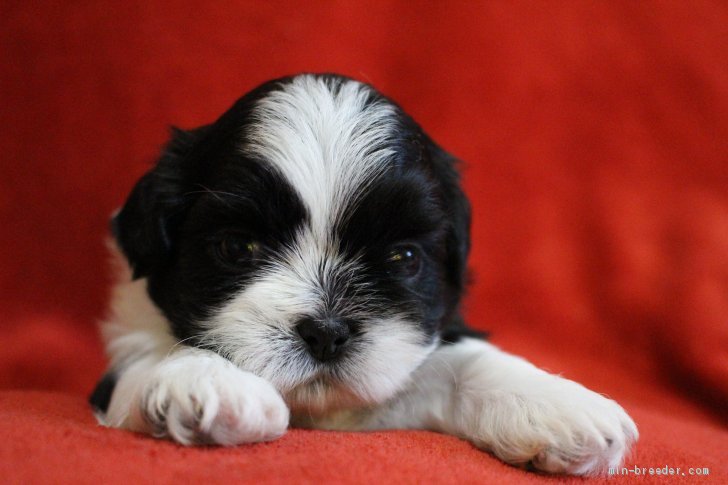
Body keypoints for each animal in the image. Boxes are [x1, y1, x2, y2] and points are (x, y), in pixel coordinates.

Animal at [91, 73, 636, 474]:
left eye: (404, 259)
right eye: (237, 247)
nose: (326, 332)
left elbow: (463, 362)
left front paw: (559, 404)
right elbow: (154, 354)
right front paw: (208, 381)